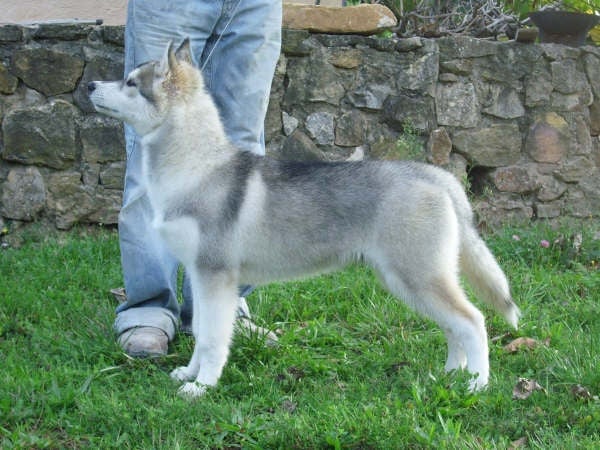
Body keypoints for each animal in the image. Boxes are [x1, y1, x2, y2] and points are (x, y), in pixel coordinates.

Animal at [88, 39, 520, 398]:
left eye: (130, 82)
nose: (91, 84)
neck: (196, 167)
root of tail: (435, 175)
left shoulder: (215, 277)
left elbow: (211, 340)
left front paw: (202, 387)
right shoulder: (199, 275)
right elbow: (200, 332)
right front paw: (189, 374)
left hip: (419, 277)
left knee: (473, 321)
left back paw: (477, 385)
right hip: (409, 282)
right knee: (453, 327)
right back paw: (450, 376)